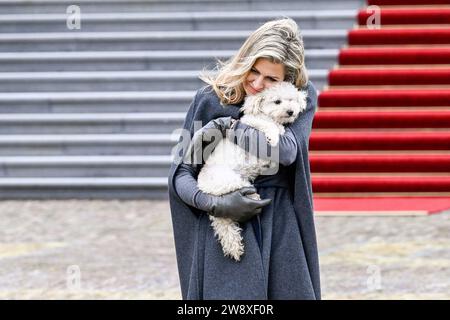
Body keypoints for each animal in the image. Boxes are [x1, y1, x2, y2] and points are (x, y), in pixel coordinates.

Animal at [198, 81, 308, 262]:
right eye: (277, 101)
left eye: (291, 100)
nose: (290, 111)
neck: (267, 115)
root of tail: (203, 186)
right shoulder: (254, 123)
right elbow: (269, 126)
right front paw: (274, 137)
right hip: (230, 181)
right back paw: (253, 197)